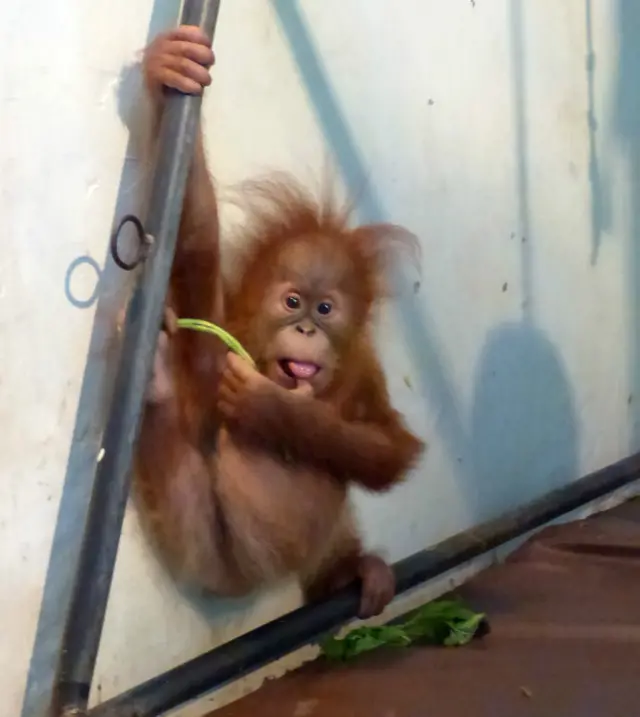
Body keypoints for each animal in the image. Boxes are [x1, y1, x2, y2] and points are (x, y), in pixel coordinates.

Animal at [134, 25, 425, 619]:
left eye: (325, 308)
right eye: (292, 302)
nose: (306, 329)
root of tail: (248, 584)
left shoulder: (365, 371)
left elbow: (390, 447)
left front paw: (277, 410)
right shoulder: (226, 326)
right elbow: (195, 245)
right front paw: (170, 67)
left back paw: (352, 572)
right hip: (198, 542)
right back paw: (156, 383)